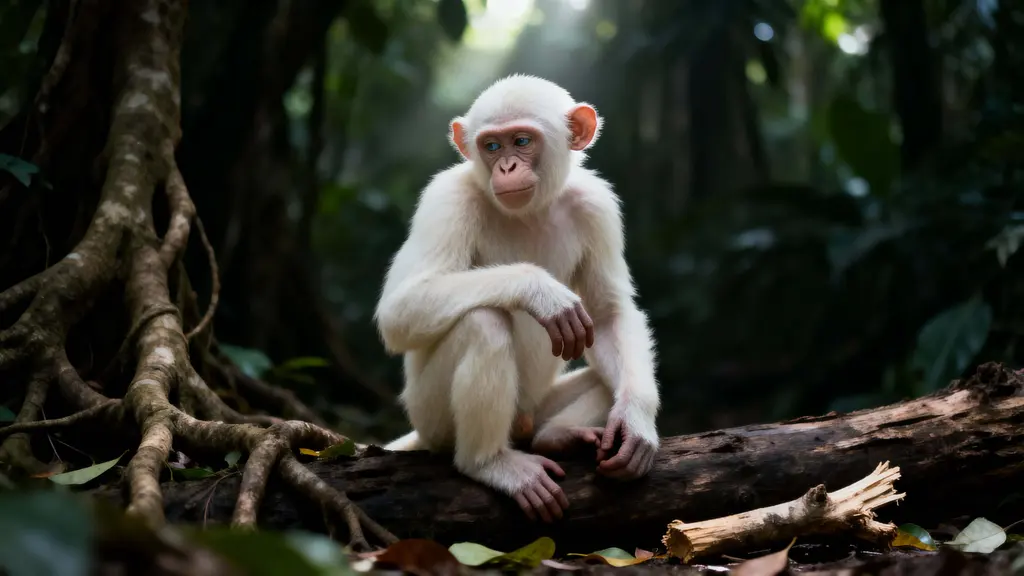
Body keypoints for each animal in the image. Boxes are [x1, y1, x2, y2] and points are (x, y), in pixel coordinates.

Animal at [374, 74, 660, 523]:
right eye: (492, 146)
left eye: (522, 141)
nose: (507, 166)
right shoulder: (446, 198)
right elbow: (401, 307)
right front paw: (541, 292)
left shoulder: (598, 206)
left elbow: (608, 314)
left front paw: (636, 423)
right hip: (430, 416)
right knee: (484, 323)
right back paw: (489, 463)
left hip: (535, 406)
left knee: (600, 378)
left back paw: (557, 436)